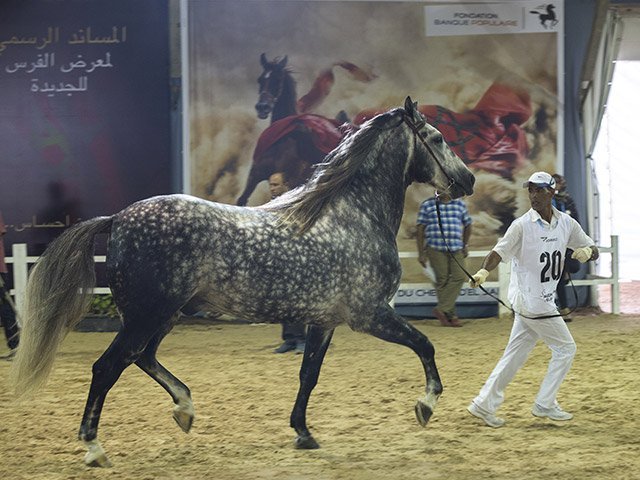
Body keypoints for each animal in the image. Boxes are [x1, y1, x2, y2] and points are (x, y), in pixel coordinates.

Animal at [12, 97, 475, 468]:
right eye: (436, 138)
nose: (467, 180)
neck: (351, 216)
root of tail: (117, 219)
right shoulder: (370, 315)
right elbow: (424, 345)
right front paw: (425, 405)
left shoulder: (324, 321)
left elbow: (309, 375)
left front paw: (303, 433)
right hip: (147, 316)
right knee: (108, 368)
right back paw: (95, 449)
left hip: (161, 316)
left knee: (143, 359)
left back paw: (185, 410)